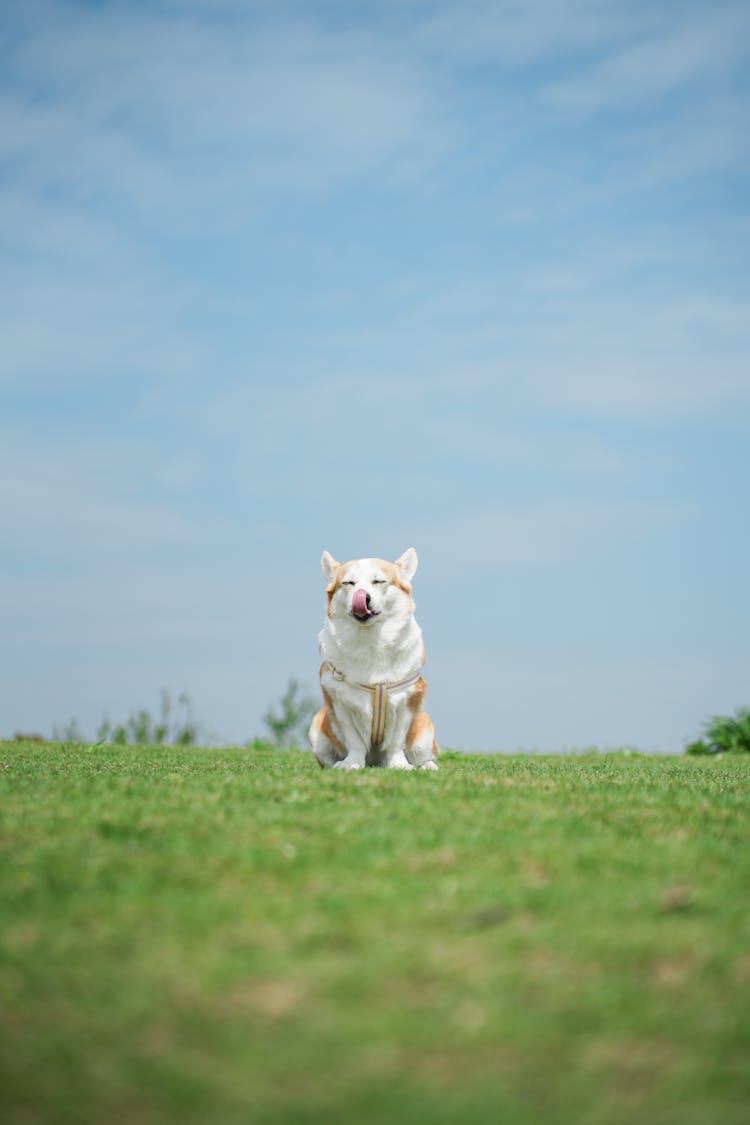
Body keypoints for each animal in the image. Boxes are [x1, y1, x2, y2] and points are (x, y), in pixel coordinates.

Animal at [310, 549, 440, 769]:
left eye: (379, 581)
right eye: (349, 583)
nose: (363, 596)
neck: (370, 640)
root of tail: (375, 763)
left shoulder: (406, 701)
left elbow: (396, 742)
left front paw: (399, 765)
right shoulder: (340, 703)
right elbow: (354, 740)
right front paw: (351, 764)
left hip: (425, 727)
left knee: (423, 755)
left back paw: (426, 766)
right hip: (316, 729)